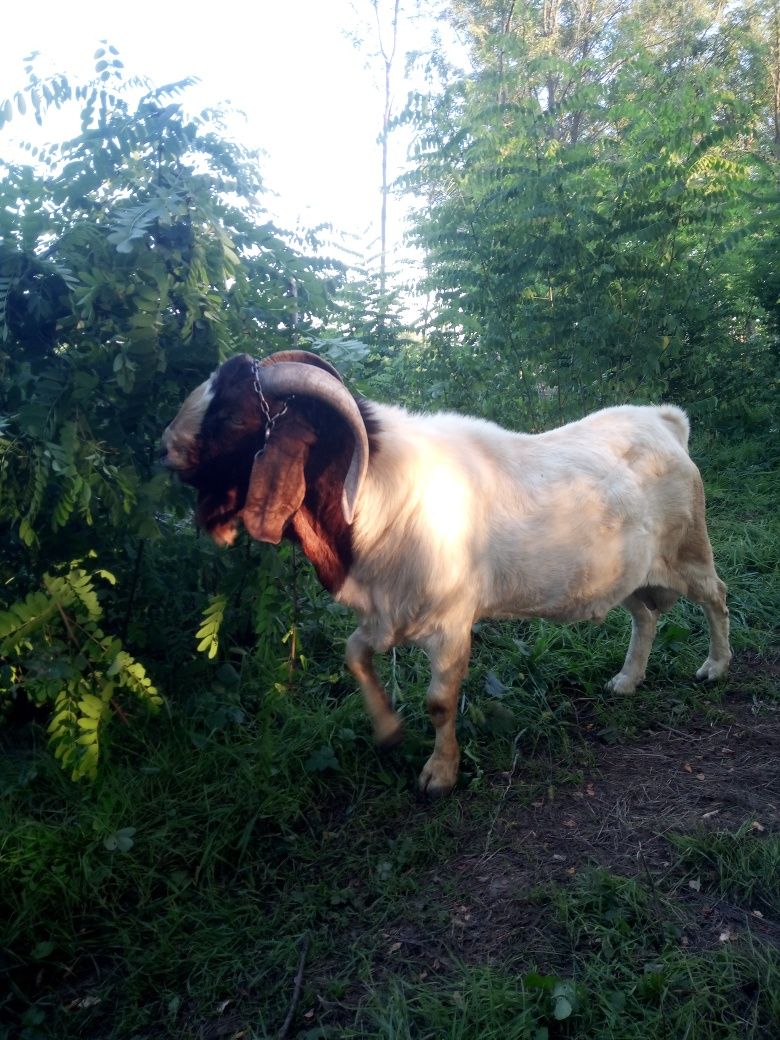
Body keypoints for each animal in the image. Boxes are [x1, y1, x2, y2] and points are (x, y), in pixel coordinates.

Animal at [160, 349, 732, 794]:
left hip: (688, 550)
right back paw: (626, 681)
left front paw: (440, 774)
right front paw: (389, 732)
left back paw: (714, 667)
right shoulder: (385, 612)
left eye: (232, 417)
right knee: (646, 616)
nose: (165, 447)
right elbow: (354, 655)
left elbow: (439, 702)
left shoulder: (451, 621)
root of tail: (665, 422)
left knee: (716, 595)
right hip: (630, 572)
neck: (373, 492)